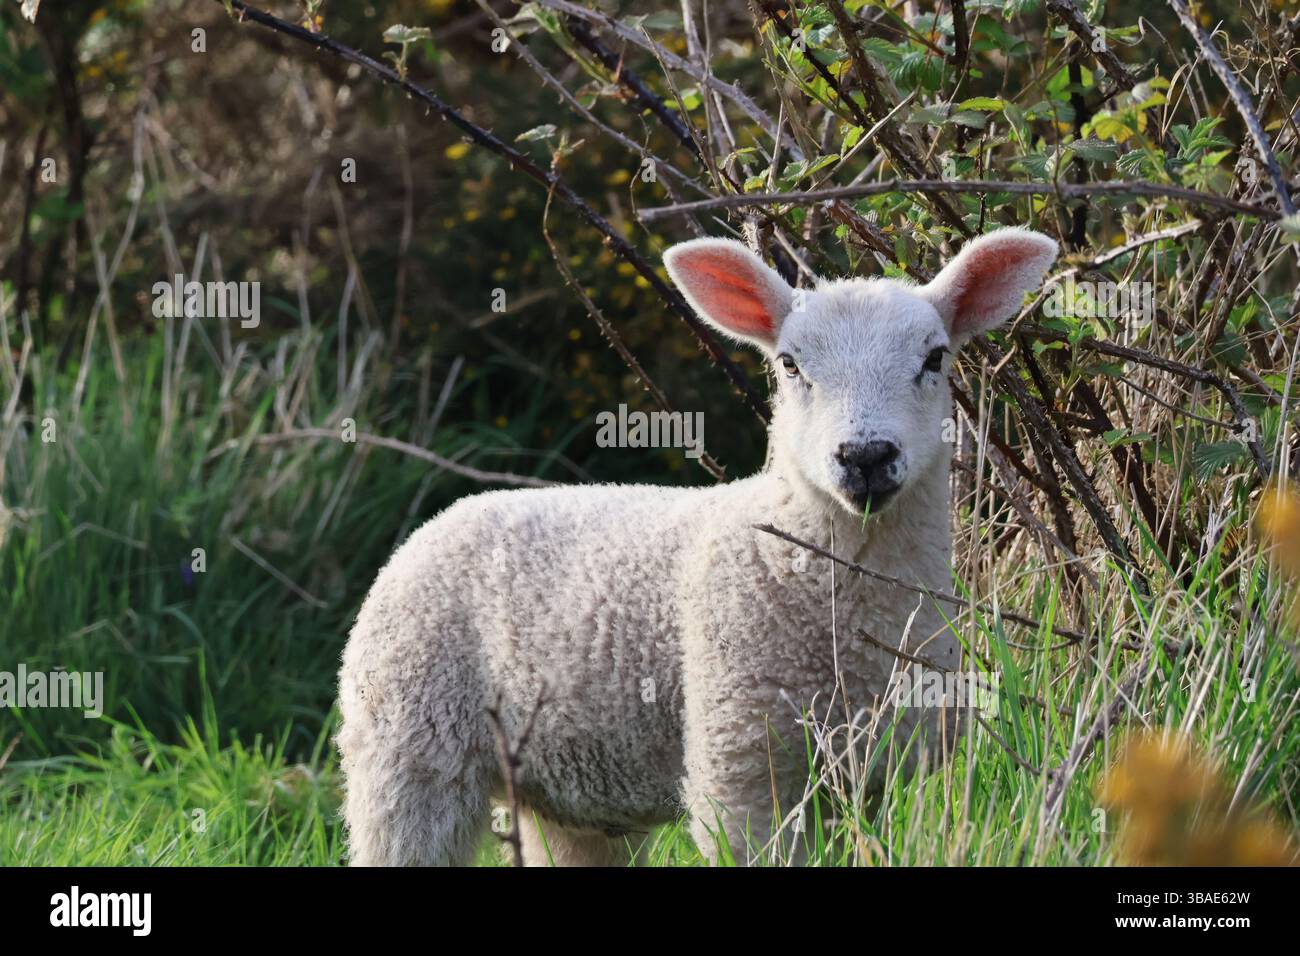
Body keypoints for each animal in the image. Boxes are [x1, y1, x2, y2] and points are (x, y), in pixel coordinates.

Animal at [336, 226, 1059, 866]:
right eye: (790, 364)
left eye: (934, 358)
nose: (866, 457)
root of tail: (441, 519)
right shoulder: (742, 762)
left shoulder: (880, 771)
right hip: (408, 742)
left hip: (563, 790)